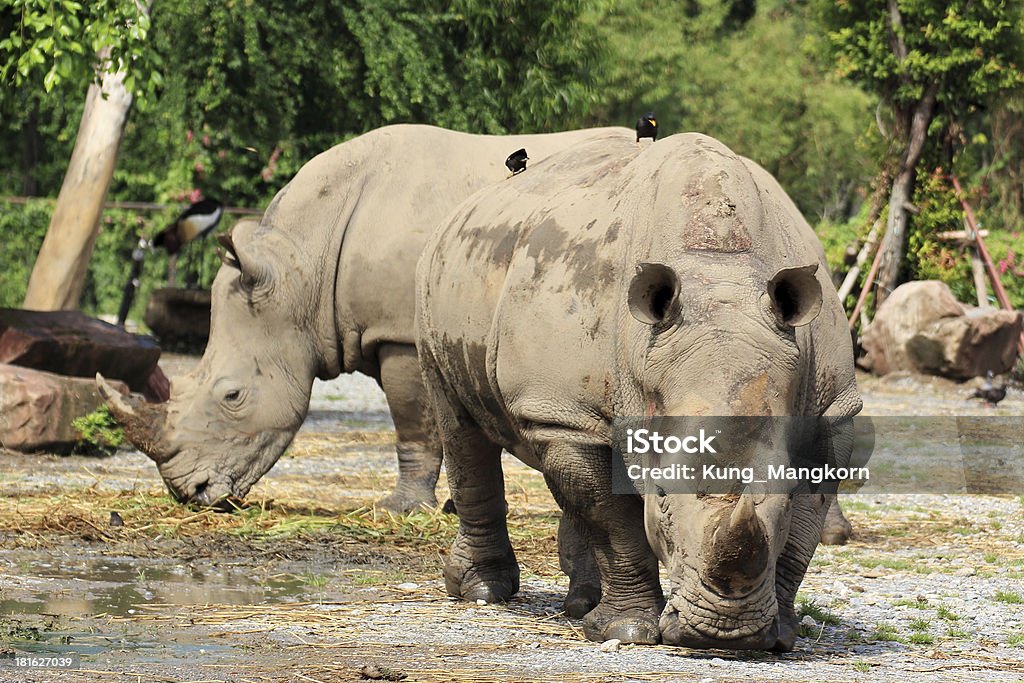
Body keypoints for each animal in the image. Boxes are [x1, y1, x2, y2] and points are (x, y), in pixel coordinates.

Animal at [103, 122, 630, 509]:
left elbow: (412, 427)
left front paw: (401, 509)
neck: (299, 272)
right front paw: (447, 505)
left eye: (232, 395)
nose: (188, 492)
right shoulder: (378, 329)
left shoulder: (400, 335)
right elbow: (430, 426)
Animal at [415, 131, 864, 651]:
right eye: (662, 496)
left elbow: (804, 529)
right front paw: (625, 632)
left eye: (786, 495)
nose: (725, 634)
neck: (720, 275)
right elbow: (613, 521)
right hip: (438, 282)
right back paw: (483, 593)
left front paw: (783, 633)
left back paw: (579, 605)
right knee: (461, 428)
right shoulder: (567, 412)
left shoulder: (831, 411)